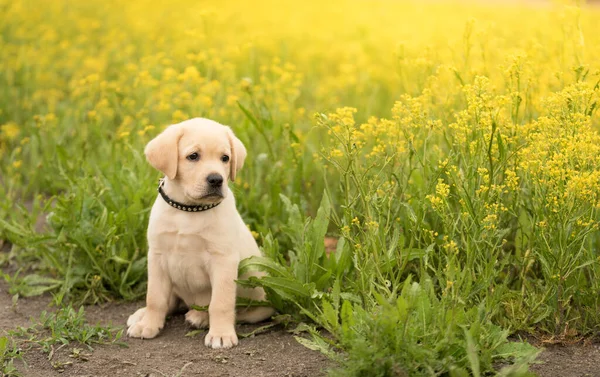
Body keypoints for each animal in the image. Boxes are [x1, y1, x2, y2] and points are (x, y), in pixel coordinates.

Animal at [130, 117, 276, 346]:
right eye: (193, 156)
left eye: (225, 158)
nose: (216, 179)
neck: (188, 209)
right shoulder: (157, 256)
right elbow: (155, 297)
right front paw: (148, 324)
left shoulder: (223, 260)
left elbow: (220, 303)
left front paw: (221, 334)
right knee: (171, 301)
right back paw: (142, 315)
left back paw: (200, 317)